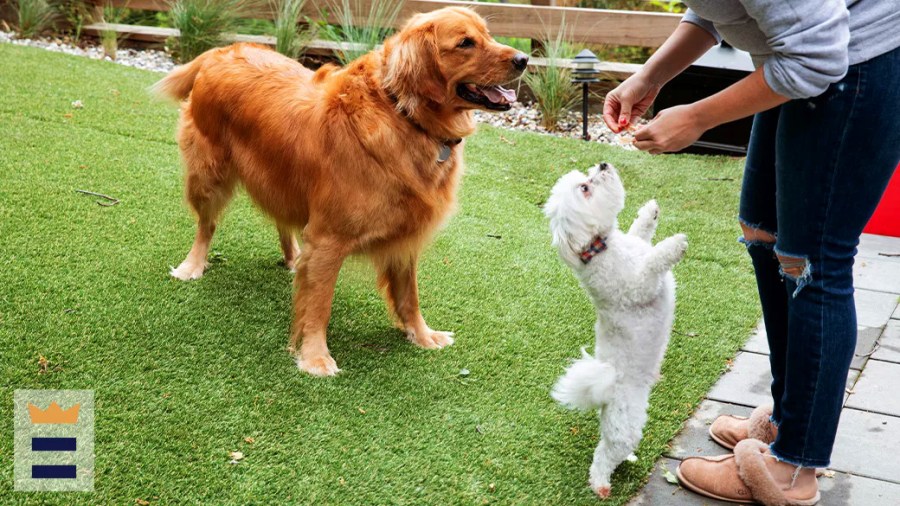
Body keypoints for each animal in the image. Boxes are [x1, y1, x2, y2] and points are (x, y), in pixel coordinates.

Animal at [540, 163, 688, 498]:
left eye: (587, 174)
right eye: (585, 188)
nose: (603, 164)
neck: (602, 248)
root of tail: (604, 393)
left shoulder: (635, 246)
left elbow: (640, 234)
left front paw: (649, 213)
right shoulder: (638, 287)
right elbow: (653, 262)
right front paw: (673, 245)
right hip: (625, 425)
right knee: (605, 454)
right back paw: (600, 484)